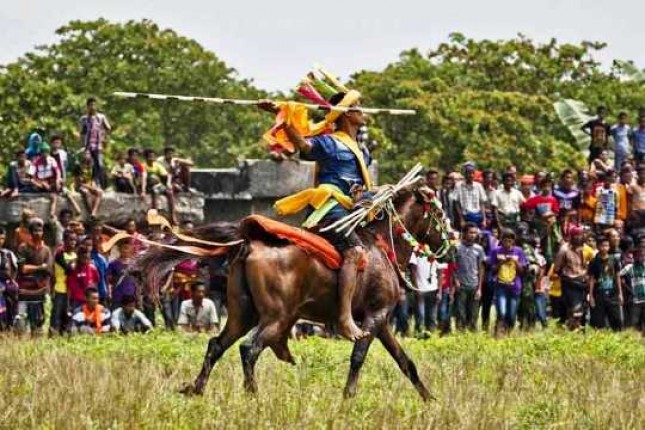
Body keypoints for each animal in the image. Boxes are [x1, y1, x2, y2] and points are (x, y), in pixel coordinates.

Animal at [138, 188, 446, 400]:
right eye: (440, 214)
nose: (449, 239)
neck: (383, 247)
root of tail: (249, 243)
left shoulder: (381, 322)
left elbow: (405, 362)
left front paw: (428, 397)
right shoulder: (375, 315)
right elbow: (358, 356)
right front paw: (348, 397)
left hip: (242, 314)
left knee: (216, 345)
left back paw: (196, 388)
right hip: (276, 316)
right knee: (249, 349)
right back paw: (252, 395)